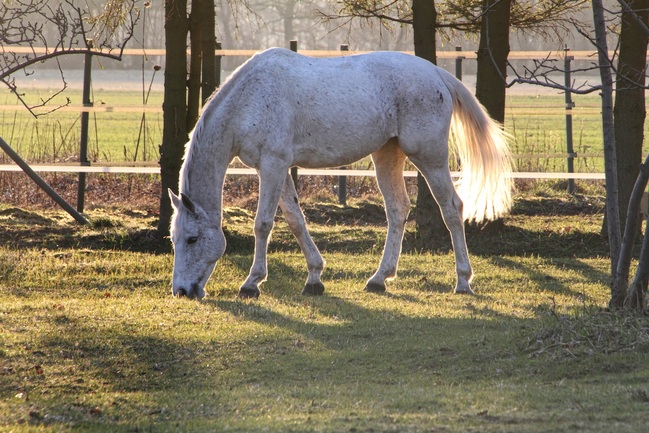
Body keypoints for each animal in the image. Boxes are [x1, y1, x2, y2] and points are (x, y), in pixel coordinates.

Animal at [167, 46, 512, 296]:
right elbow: (295, 220)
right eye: (175, 239)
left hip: (429, 158)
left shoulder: (273, 165)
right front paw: (314, 278)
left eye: (193, 239)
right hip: (387, 155)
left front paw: (252, 283)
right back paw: (379, 279)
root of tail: (437, 73)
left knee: (452, 209)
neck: (249, 98)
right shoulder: (279, 168)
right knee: (398, 210)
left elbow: (263, 224)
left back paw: (463, 281)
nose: (182, 291)